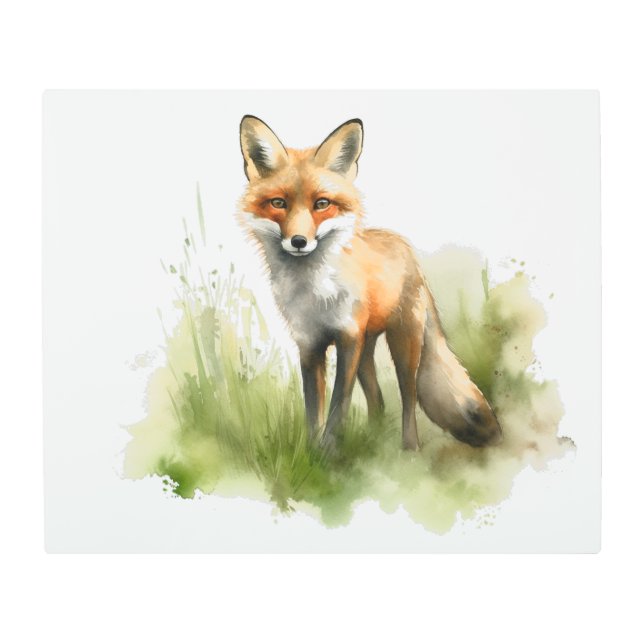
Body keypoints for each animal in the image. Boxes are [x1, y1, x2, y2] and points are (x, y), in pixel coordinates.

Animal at [237, 115, 502, 451]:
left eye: (321, 203)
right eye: (278, 203)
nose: (298, 241)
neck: (314, 293)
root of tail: (405, 247)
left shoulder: (348, 338)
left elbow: (339, 404)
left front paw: (329, 452)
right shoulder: (310, 344)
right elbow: (313, 409)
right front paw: (312, 453)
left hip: (403, 343)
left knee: (408, 398)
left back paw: (409, 448)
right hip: (367, 350)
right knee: (378, 401)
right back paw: (374, 443)